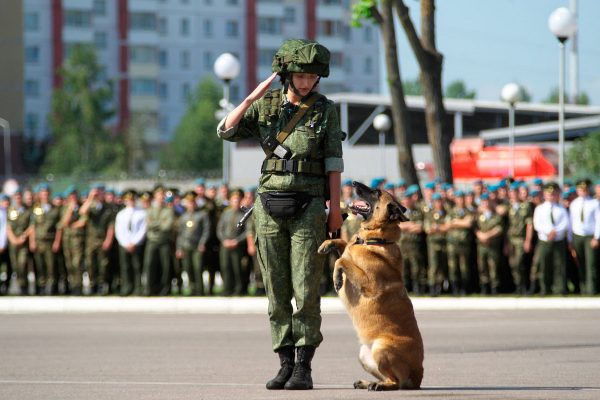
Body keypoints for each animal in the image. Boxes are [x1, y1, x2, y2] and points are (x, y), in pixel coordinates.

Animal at [318, 181, 422, 390]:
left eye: (376, 192)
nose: (353, 183)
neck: (376, 239)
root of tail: (418, 376)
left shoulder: (368, 283)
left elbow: (342, 260)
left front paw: (337, 278)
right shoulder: (350, 247)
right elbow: (343, 244)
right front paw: (328, 243)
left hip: (382, 349)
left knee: (396, 382)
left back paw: (381, 386)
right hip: (364, 355)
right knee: (386, 376)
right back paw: (368, 382)